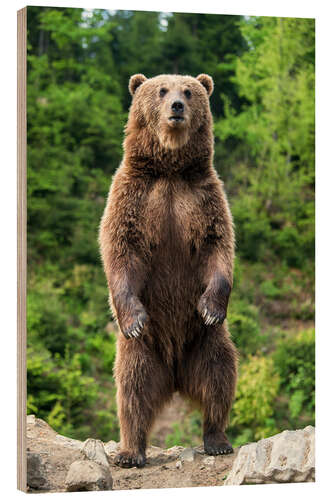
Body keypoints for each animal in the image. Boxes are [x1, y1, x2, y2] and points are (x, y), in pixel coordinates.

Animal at [98, 74, 236, 468]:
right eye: (161, 90)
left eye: (189, 91)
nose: (176, 106)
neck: (170, 170)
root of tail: (175, 375)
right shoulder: (133, 196)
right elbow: (120, 249)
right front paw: (133, 318)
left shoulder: (204, 197)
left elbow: (218, 246)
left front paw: (211, 307)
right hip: (144, 351)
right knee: (132, 391)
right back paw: (130, 451)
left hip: (205, 341)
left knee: (220, 378)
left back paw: (217, 439)